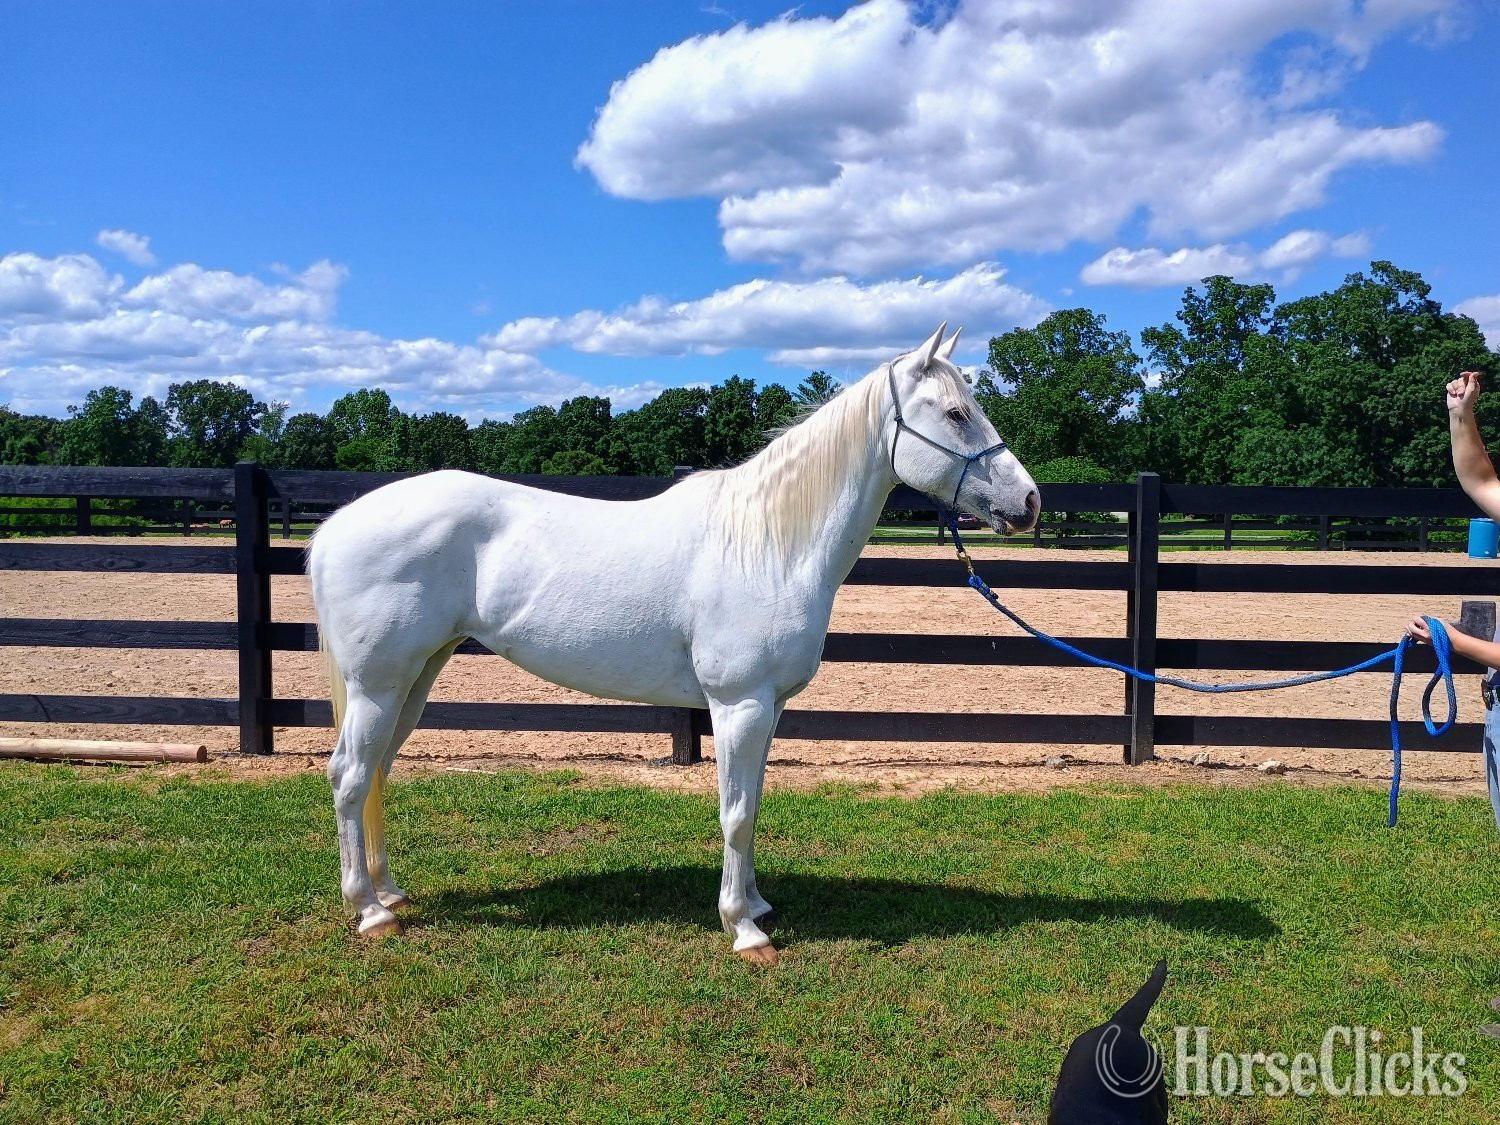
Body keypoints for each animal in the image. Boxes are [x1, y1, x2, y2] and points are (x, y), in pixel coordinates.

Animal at [308, 324, 1040, 963]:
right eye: (955, 413)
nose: (1029, 501)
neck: (769, 543)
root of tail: (336, 525)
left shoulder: (768, 707)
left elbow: (753, 803)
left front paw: (756, 902)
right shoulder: (739, 704)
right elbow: (736, 812)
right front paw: (744, 929)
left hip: (415, 677)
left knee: (377, 771)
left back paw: (391, 894)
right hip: (377, 684)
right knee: (349, 775)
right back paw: (368, 912)